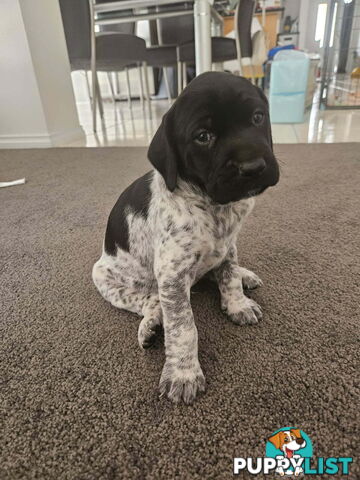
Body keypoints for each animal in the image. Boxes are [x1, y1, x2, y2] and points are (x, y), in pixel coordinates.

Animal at [92, 71, 278, 404]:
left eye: (258, 118)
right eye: (203, 136)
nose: (253, 168)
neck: (210, 205)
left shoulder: (228, 245)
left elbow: (228, 275)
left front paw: (237, 303)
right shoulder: (172, 276)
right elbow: (183, 327)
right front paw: (183, 373)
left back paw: (244, 276)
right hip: (105, 277)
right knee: (149, 300)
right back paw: (151, 324)